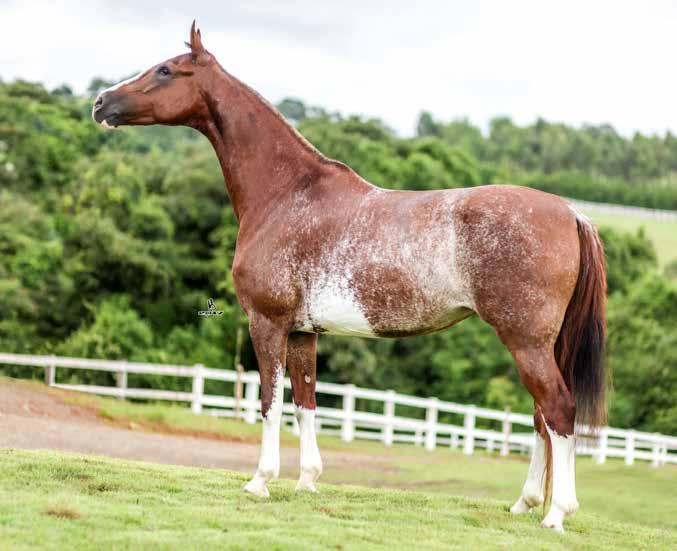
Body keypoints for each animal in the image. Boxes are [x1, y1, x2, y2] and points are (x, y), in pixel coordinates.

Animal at [92, 22, 604, 536]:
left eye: (165, 70)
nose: (100, 102)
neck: (286, 194)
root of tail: (571, 212)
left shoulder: (267, 323)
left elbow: (270, 402)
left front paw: (260, 481)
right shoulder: (303, 332)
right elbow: (306, 401)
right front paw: (307, 480)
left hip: (525, 341)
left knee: (558, 410)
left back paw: (557, 513)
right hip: (538, 344)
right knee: (540, 417)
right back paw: (524, 503)